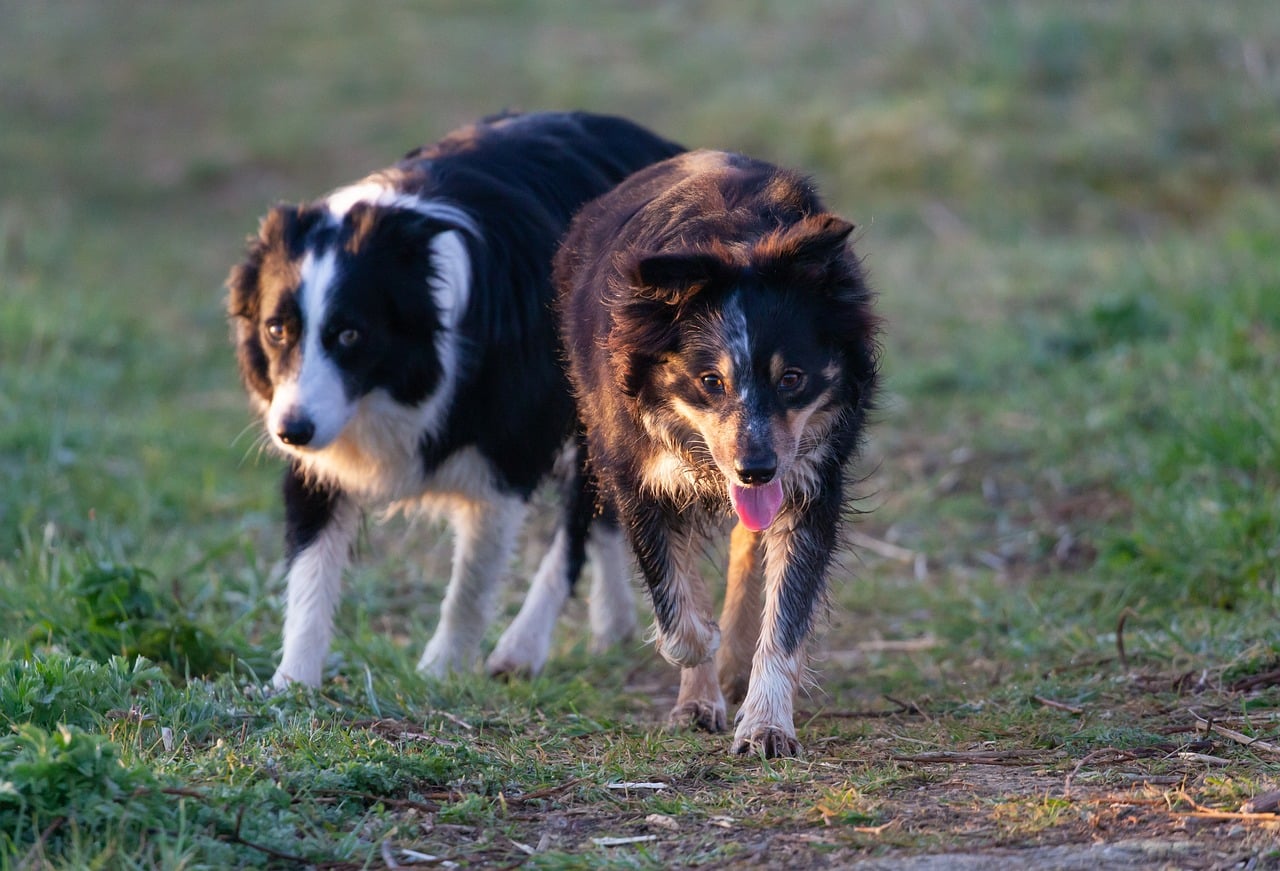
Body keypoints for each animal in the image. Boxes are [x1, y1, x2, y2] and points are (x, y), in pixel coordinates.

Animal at [225, 112, 686, 691]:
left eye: (351, 335)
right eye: (276, 329)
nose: (291, 431)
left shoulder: (509, 451)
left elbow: (471, 580)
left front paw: (440, 671)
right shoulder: (319, 443)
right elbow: (310, 568)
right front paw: (290, 686)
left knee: (581, 517)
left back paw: (522, 648)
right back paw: (613, 623)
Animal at [560, 149, 880, 753]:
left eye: (793, 378)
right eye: (711, 381)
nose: (755, 471)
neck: (738, 240)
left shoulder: (813, 474)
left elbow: (787, 610)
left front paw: (766, 724)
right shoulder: (634, 468)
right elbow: (676, 600)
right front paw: (700, 655)